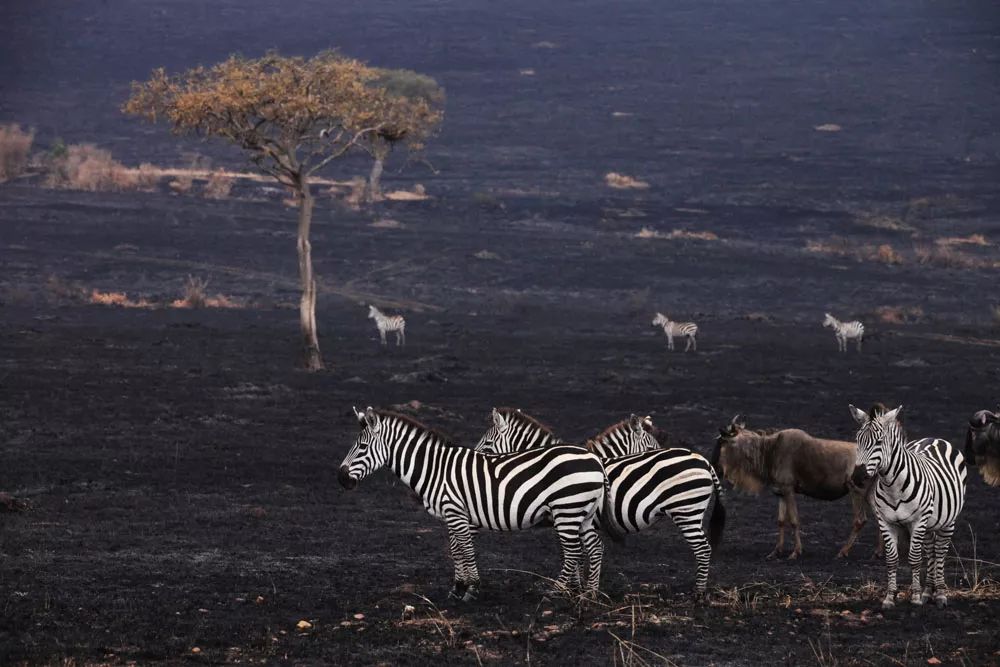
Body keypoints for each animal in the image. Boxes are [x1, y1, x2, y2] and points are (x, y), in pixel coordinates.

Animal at [340, 408, 608, 600]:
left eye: (362, 447)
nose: (340, 479)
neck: (435, 469)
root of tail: (594, 458)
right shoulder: (453, 513)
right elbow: (455, 549)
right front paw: (457, 587)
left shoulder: (456, 512)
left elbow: (466, 550)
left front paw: (472, 588)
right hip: (583, 513)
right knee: (594, 547)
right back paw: (590, 593)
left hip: (567, 509)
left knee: (573, 551)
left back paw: (555, 591)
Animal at [476, 410, 728, 596]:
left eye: (487, 445)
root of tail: (704, 461)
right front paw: (579, 587)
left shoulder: (566, 516)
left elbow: (572, 554)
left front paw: (575, 587)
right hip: (692, 512)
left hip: (687, 511)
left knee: (703, 548)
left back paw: (698, 593)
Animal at [848, 402, 964, 612]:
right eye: (857, 440)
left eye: (879, 442)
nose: (858, 477)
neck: (892, 486)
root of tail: (934, 438)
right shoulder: (885, 521)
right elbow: (892, 559)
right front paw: (890, 597)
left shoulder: (917, 521)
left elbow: (914, 558)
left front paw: (915, 596)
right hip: (930, 524)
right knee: (931, 551)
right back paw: (928, 592)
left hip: (947, 521)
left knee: (940, 552)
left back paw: (940, 594)